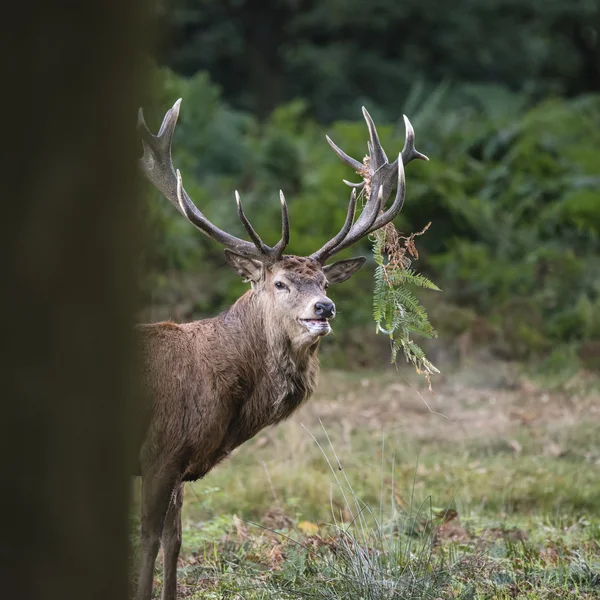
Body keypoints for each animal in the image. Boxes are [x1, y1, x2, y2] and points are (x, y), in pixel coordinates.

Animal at [134, 98, 428, 600]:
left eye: (326, 281)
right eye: (280, 282)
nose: (324, 307)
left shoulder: (178, 463)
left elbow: (174, 542)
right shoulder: (159, 451)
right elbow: (149, 540)